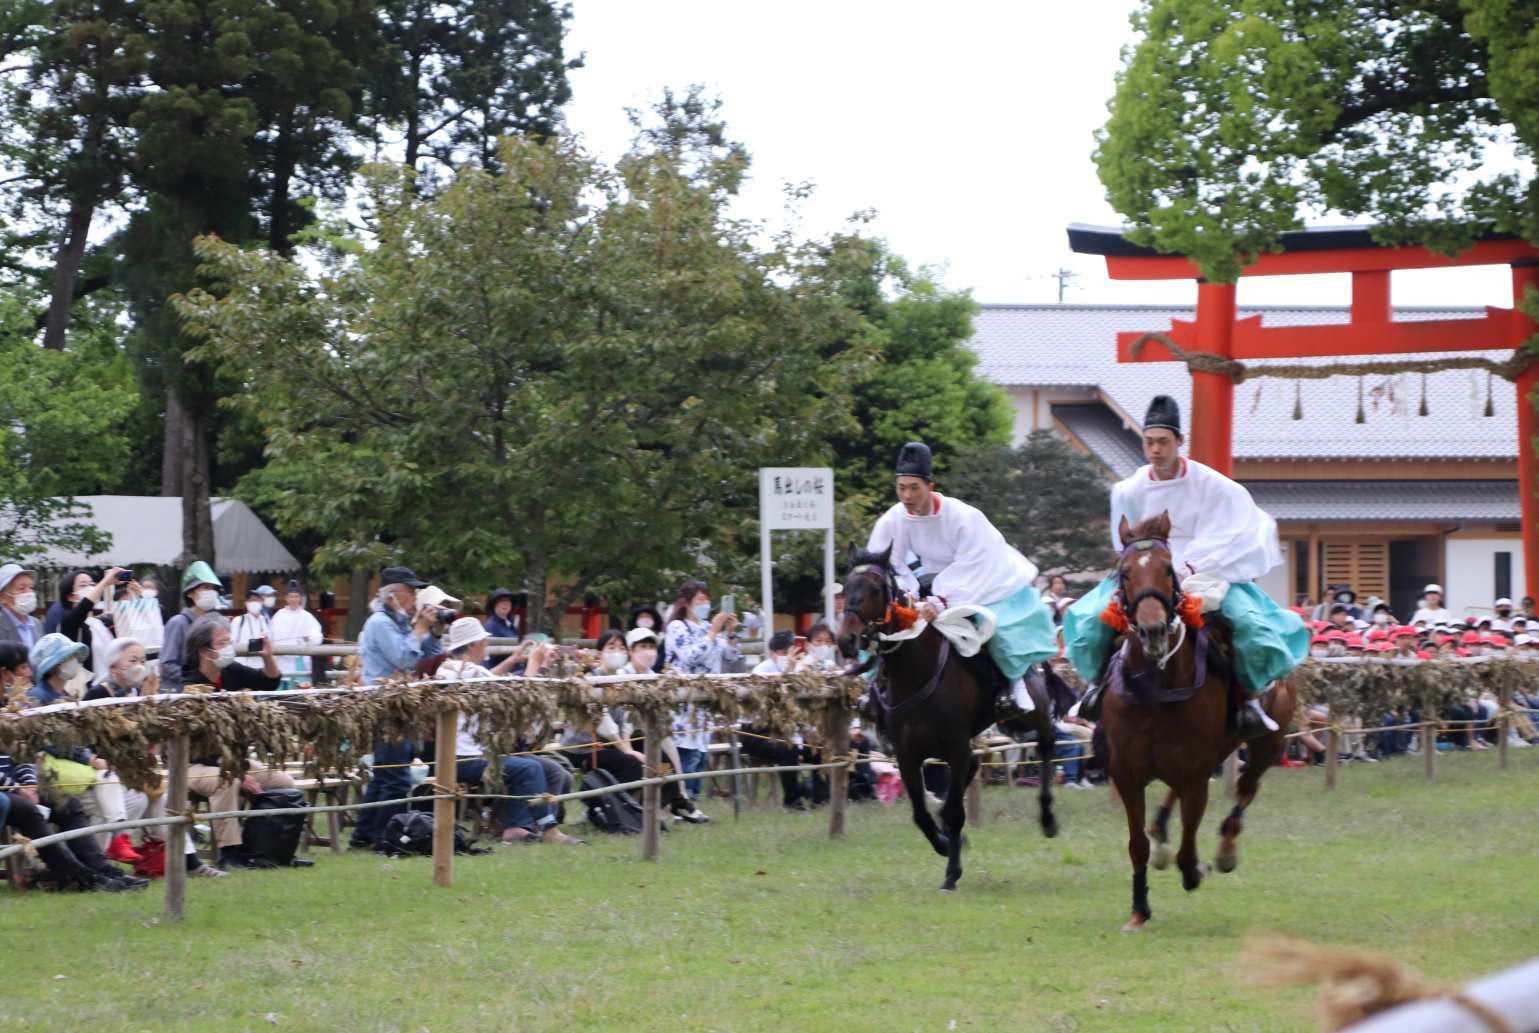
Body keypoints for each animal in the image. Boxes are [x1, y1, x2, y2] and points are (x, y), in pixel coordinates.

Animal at [843, 544, 1058, 892]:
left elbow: (956, 811)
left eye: (875, 589)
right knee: (973, 767)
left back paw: (1048, 817)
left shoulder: (955, 745)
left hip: (1035, 714)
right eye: (845, 588)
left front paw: (951, 872)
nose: (846, 640)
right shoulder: (906, 753)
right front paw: (944, 844)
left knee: (1047, 746)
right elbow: (921, 813)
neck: (917, 672)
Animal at [1101, 514, 1292, 936]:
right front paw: (1139, 910)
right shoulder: (1126, 772)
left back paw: (1225, 850)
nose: (1154, 631)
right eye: (1124, 572)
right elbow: (1136, 845)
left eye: (1167, 569)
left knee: (1246, 790)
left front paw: (1194, 870)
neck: (1156, 686)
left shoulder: (1194, 773)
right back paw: (1161, 835)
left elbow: (1190, 846)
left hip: (1268, 743)